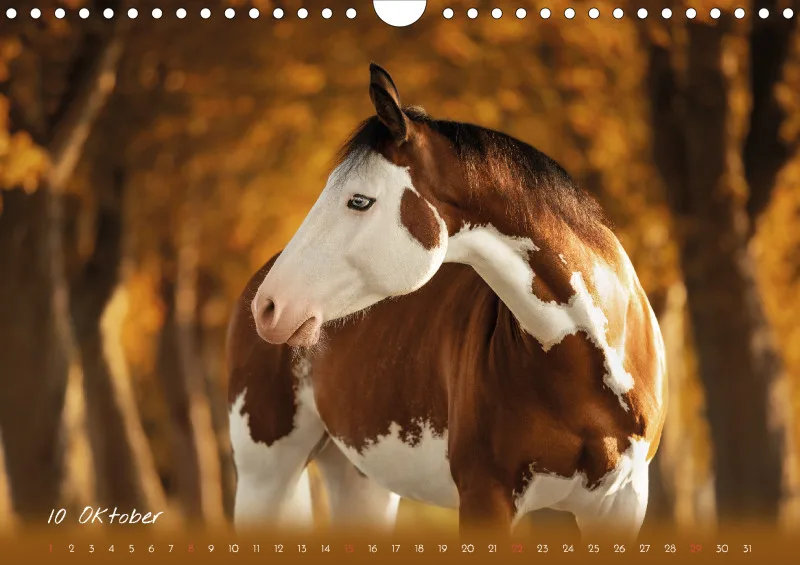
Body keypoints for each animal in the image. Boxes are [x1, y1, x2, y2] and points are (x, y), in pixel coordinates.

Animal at [227, 63, 667, 540]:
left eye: (359, 200)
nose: (269, 307)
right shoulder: (485, 497)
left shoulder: (620, 505)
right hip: (265, 477)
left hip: (360, 480)